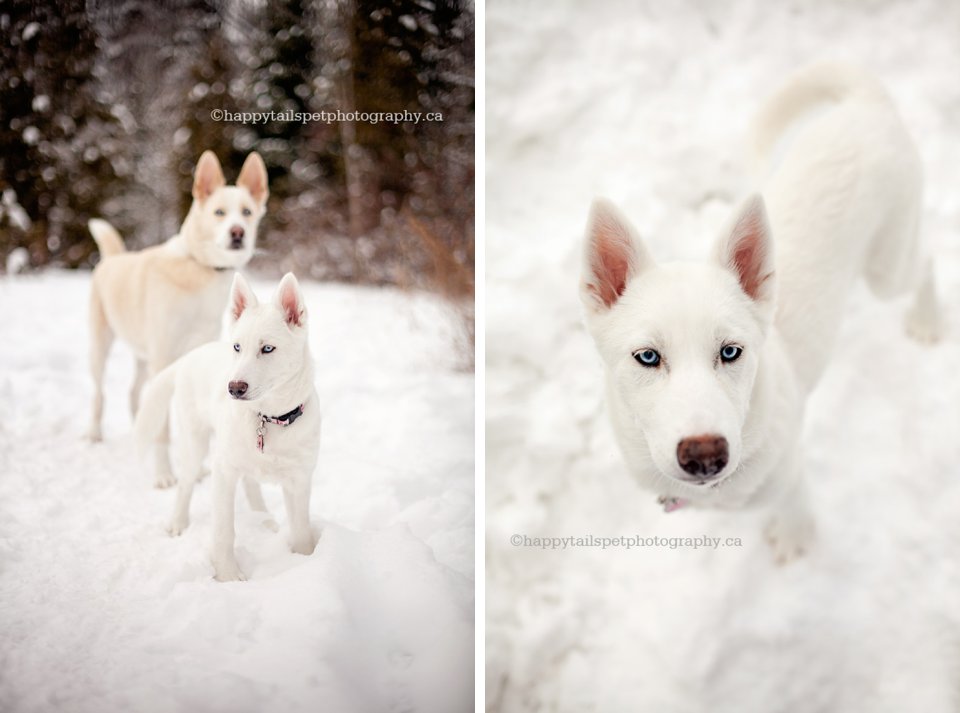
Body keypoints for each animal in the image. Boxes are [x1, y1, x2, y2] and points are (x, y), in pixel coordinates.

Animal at [88, 149, 268, 484]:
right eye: (219, 213)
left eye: (247, 212)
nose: (237, 232)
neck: (200, 267)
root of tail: (112, 259)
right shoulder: (163, 358)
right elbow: (163, 430)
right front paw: (164, 474)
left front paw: (202, 467)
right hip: (100, 346)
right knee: (99, 394)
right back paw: (94, 433)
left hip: (144, 357)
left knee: (136, 393)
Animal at [136, 272, 322, 580]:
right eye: (237, 347)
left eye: (267, 348)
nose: (234, 388)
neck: (267, 417)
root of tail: (189, 357)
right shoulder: (223, 472)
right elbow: (224, 532)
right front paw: (228, 575)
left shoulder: (300, 481)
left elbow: (302, 532)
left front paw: (307, 560)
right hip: (195, 444)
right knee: (185, 484)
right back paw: (178, 522)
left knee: (251, 484)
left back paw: (265, 521)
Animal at [580, 64, 940, 560]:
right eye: (648, 357)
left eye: (731, 351)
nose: (705, 455)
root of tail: (866, 102)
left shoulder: (791, 473)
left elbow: (795, 506)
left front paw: (794, 538)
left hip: (888, 268)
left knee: (925, 261)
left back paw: (929, 319)